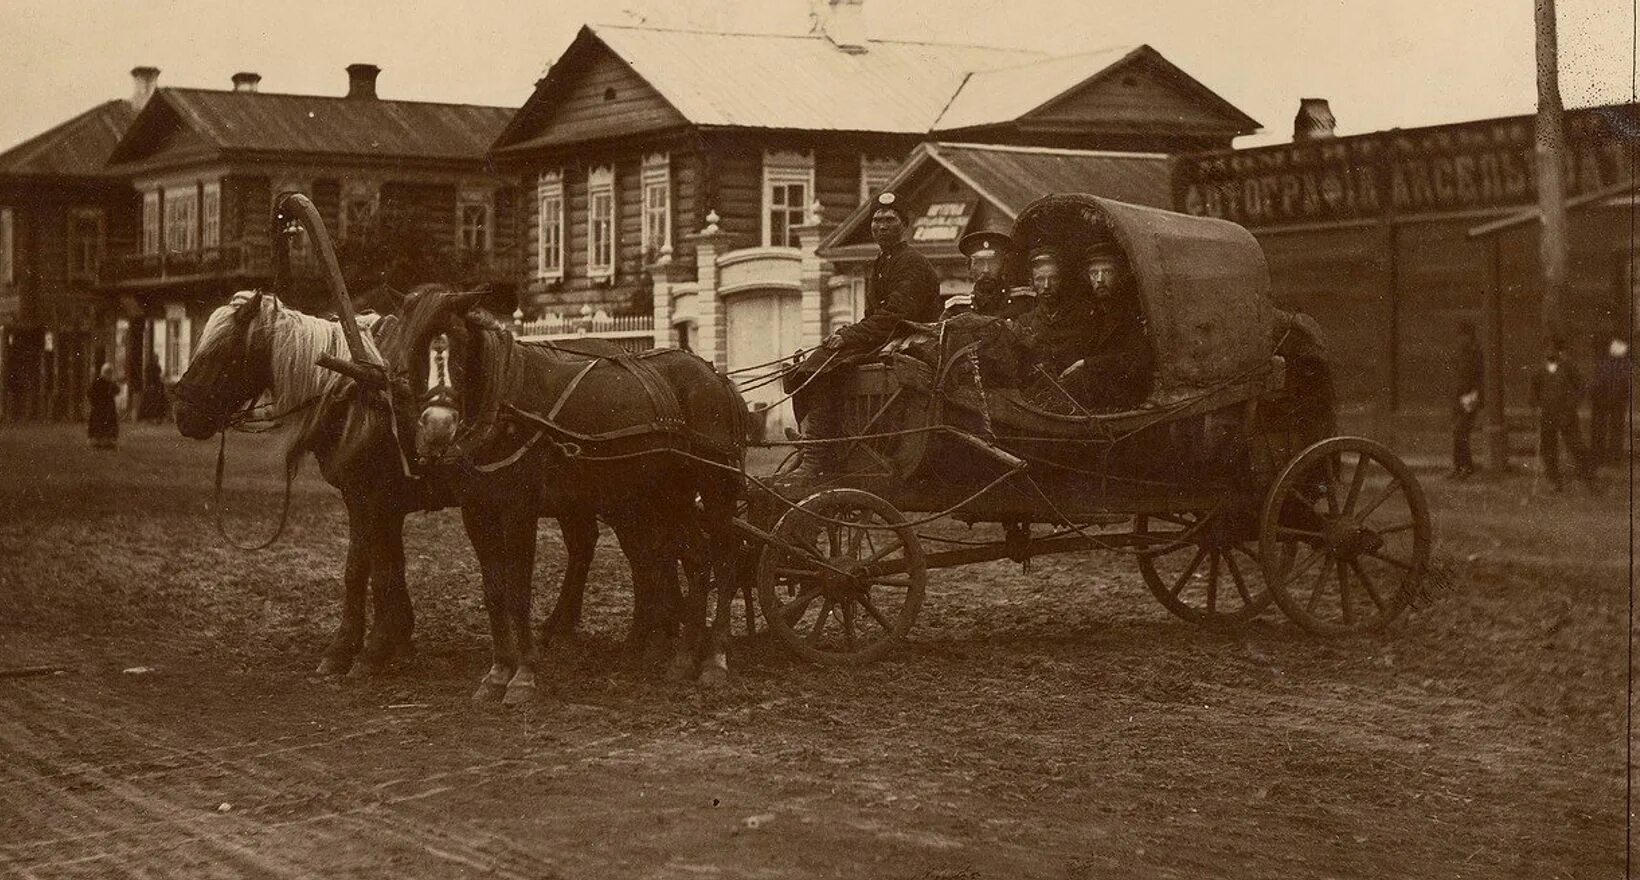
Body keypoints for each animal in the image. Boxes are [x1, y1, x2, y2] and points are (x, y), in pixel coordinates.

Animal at [171, 288, 603, 671]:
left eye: (220, 352)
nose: (182, 413)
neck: (358, 391)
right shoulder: (371, 502)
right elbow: (378, 566)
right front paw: (390, 636)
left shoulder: (372, 498)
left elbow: (368, 570)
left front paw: (362, 648)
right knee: (582, 545)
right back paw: (559, 624)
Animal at [383, 291, 744, 704]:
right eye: (415, 347)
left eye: (459, 349)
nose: (438, 426)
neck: (505, 401)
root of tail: (715, 376)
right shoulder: (476, 512)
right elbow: (494, 592)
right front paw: (497, 672)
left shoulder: (519, 509)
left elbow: (518, 591)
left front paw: (523, 675)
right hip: (663, 496)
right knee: (691, 558)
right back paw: (683, 657)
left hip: (714, 489)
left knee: (725, 558)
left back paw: (714, 657)